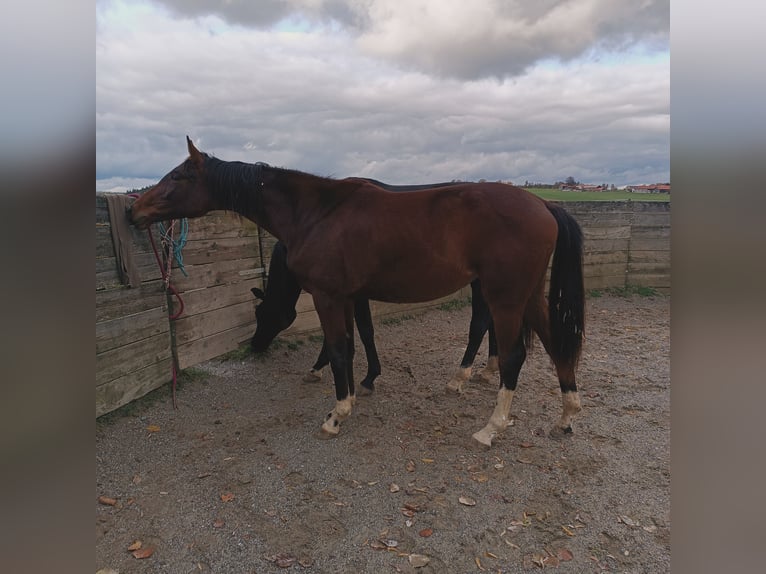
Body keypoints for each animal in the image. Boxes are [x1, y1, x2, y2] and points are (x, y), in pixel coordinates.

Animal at [249, 178, 500, 398]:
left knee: (479, 323)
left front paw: (366, 378)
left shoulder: (348, 295)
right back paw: (489, 369)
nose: (254, 346)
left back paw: (458, 379)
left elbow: (365, 331)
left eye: (261, 314)